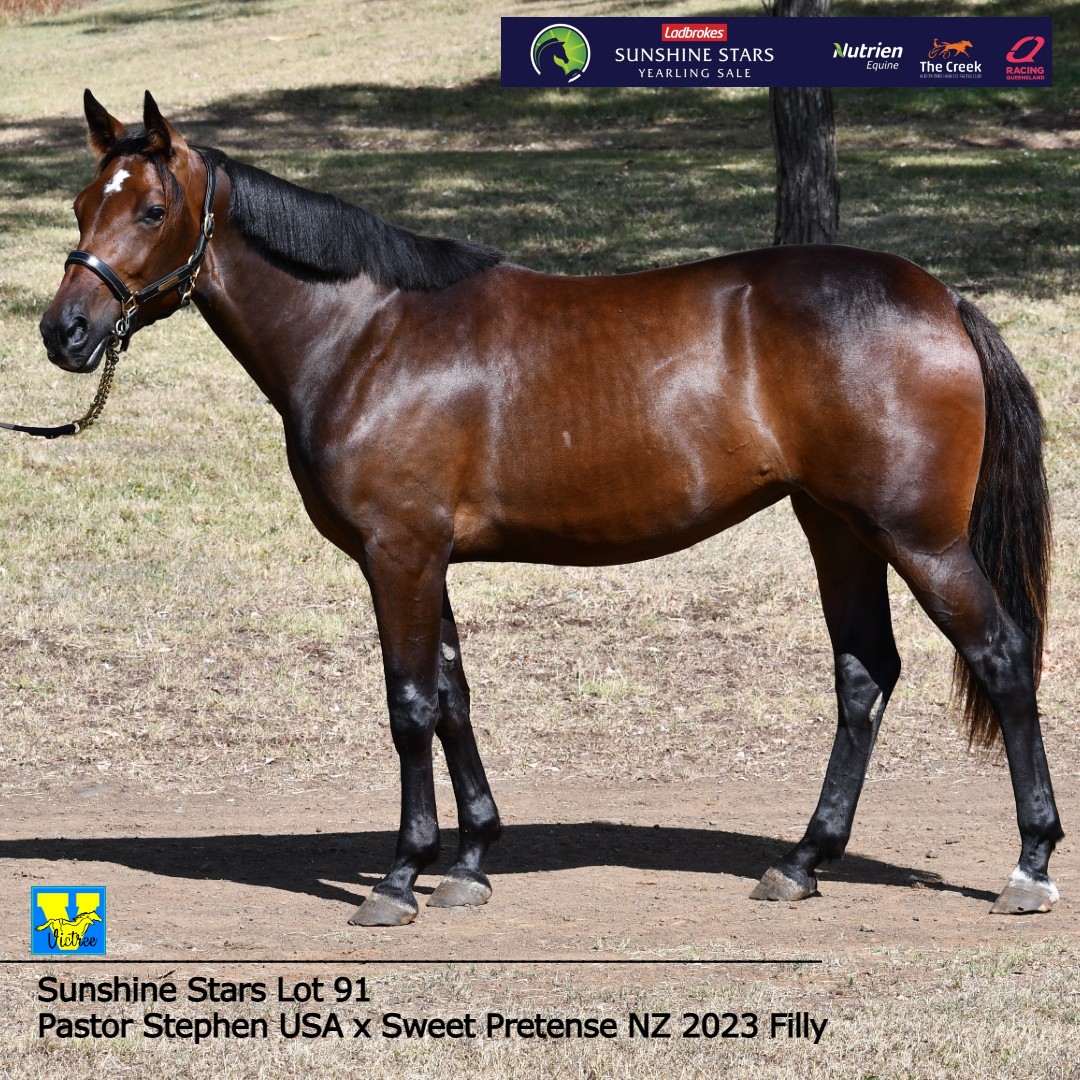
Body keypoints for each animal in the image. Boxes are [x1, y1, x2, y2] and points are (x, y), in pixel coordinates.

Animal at [38, 91, 1062, 926]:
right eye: (84, 205)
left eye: (153, 209)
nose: (64, 332)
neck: (369, 332)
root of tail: (943, 297)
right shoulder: (425, 557)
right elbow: (452, 696)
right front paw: (470, 861)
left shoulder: (398, 552)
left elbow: (409, 703)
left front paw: (402, 877)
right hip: (837, 526)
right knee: (864, 675)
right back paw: (802, 861)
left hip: (919, 538)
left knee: (1001, 656)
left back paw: (1030, 864)